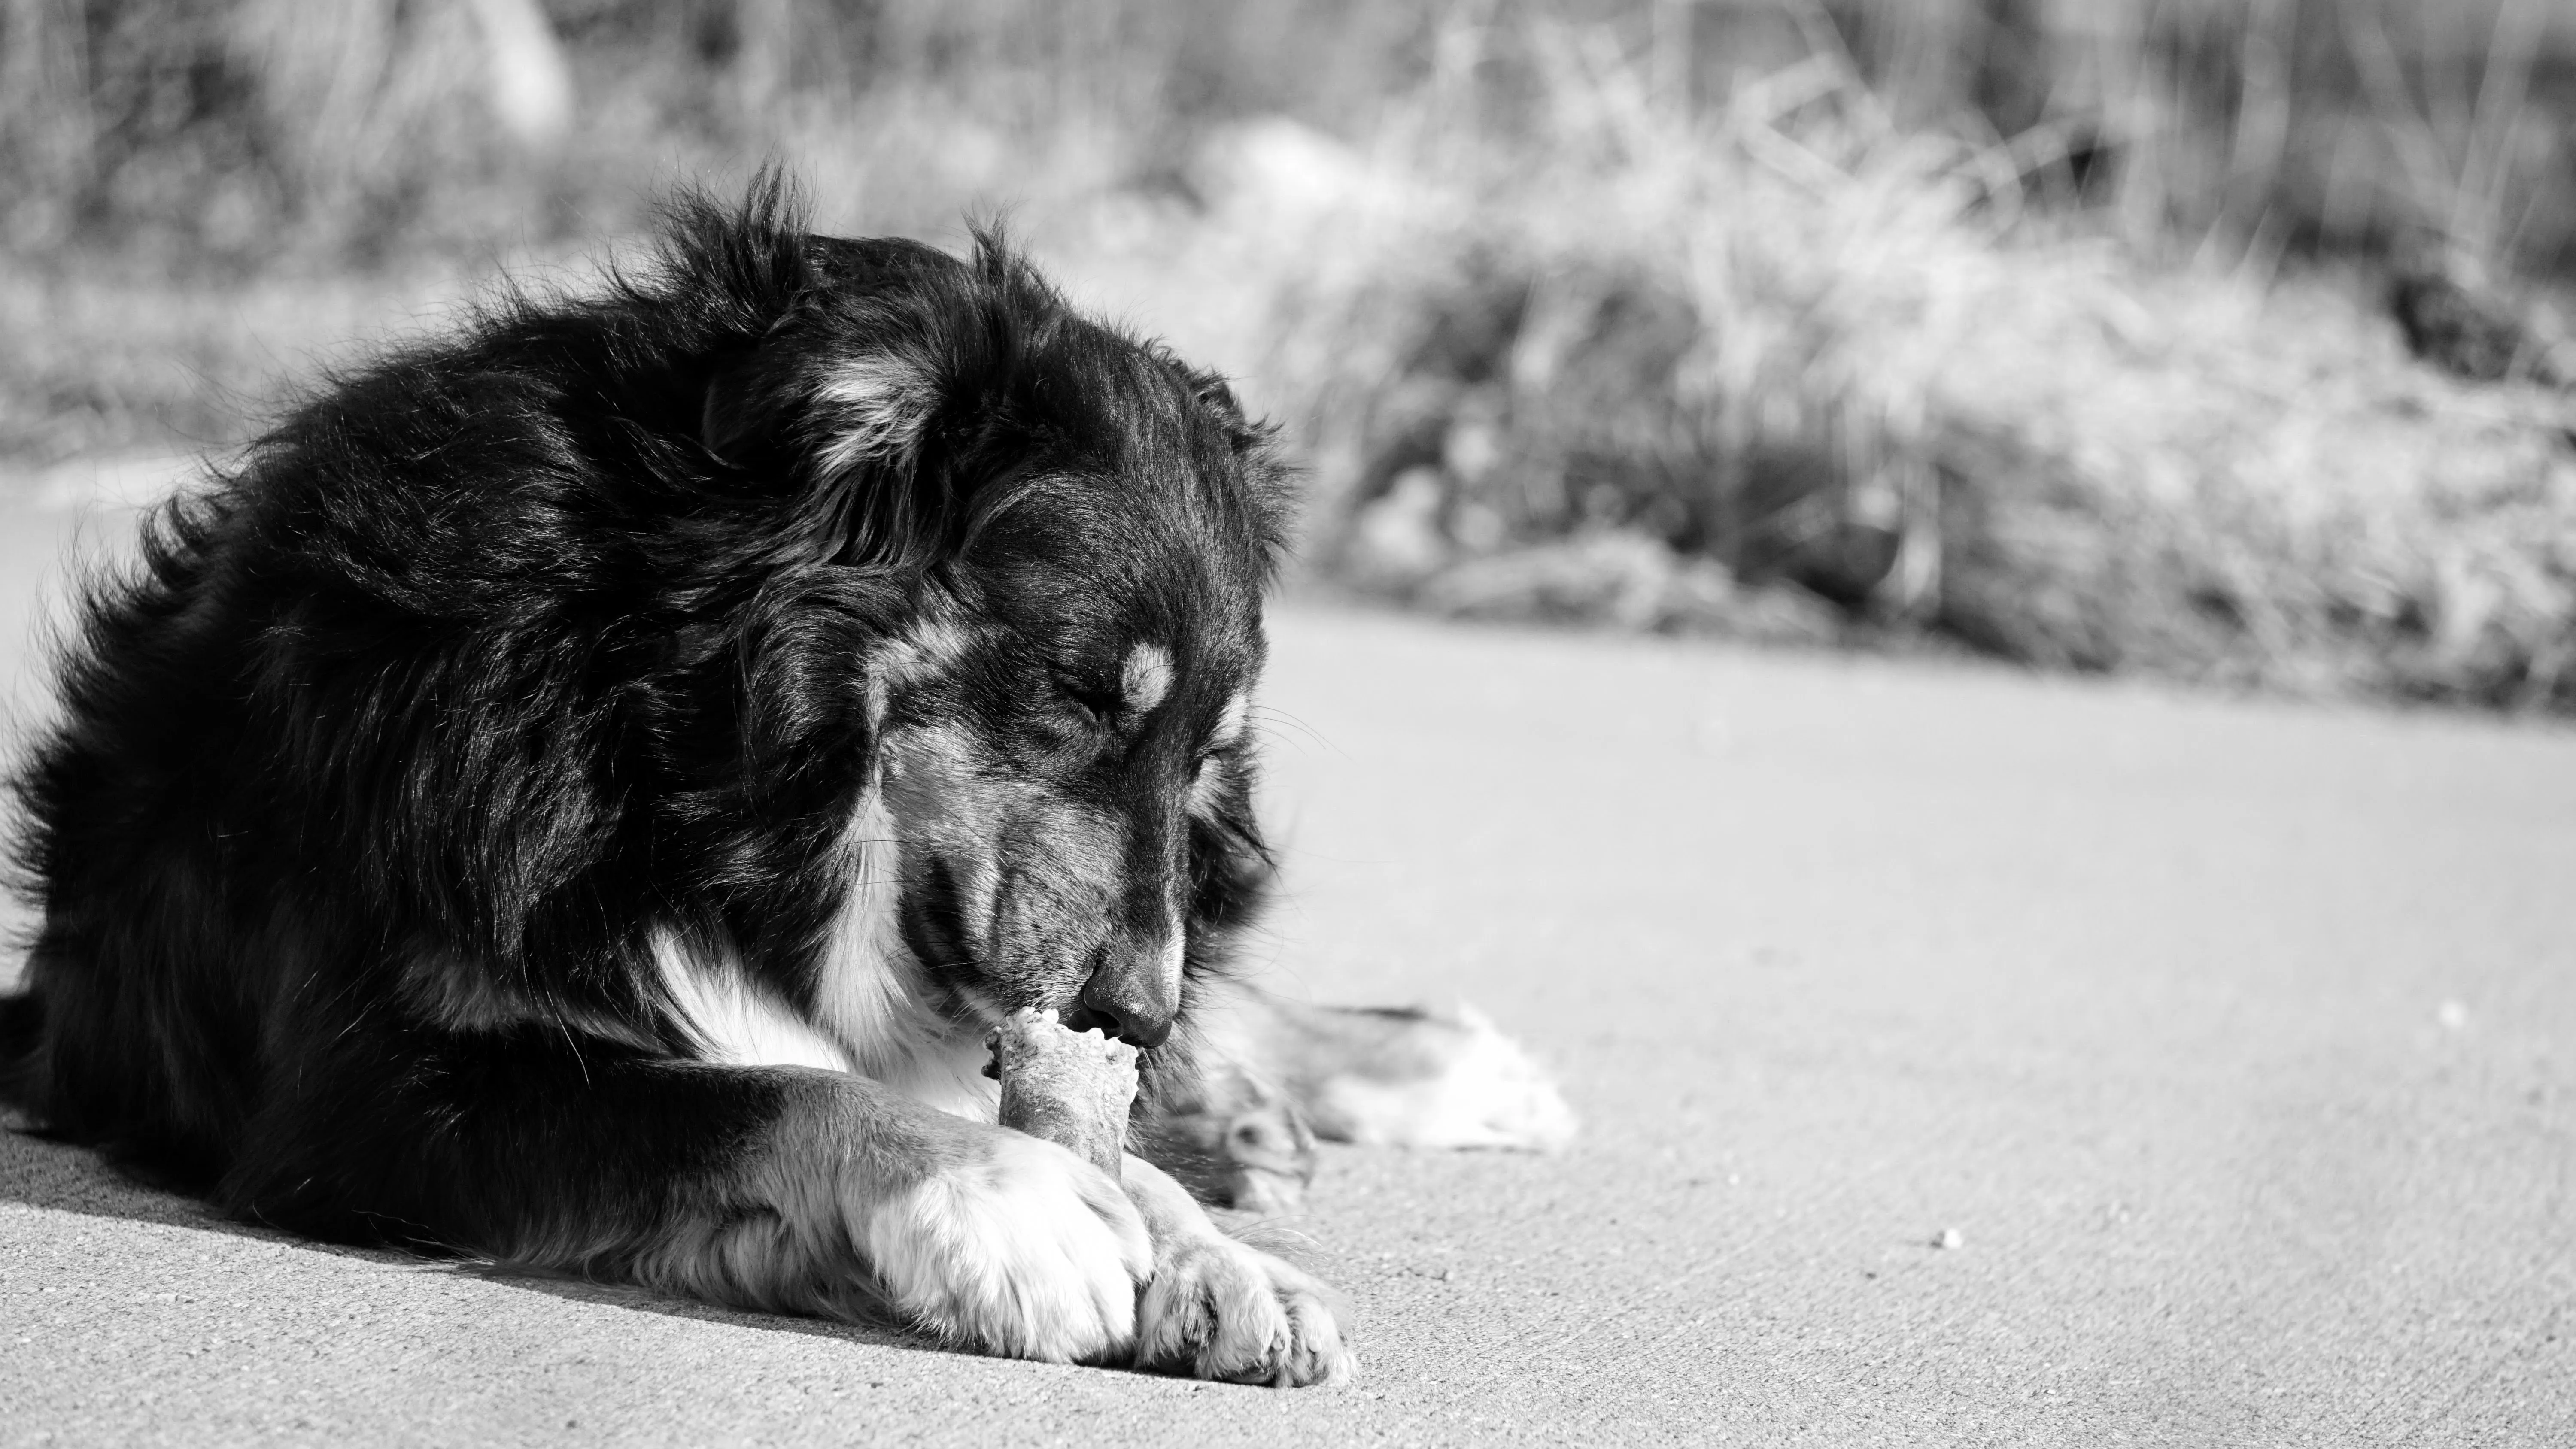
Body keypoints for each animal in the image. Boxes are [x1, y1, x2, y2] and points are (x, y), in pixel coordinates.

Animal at [0, 186, 1566, 1390]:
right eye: (1077, 696)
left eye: (1206, 755)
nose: (1135, 1012)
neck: (680, 734)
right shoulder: (363, 1087)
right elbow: (765, 1091)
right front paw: (1011, 1206)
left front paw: (1217, 1252)